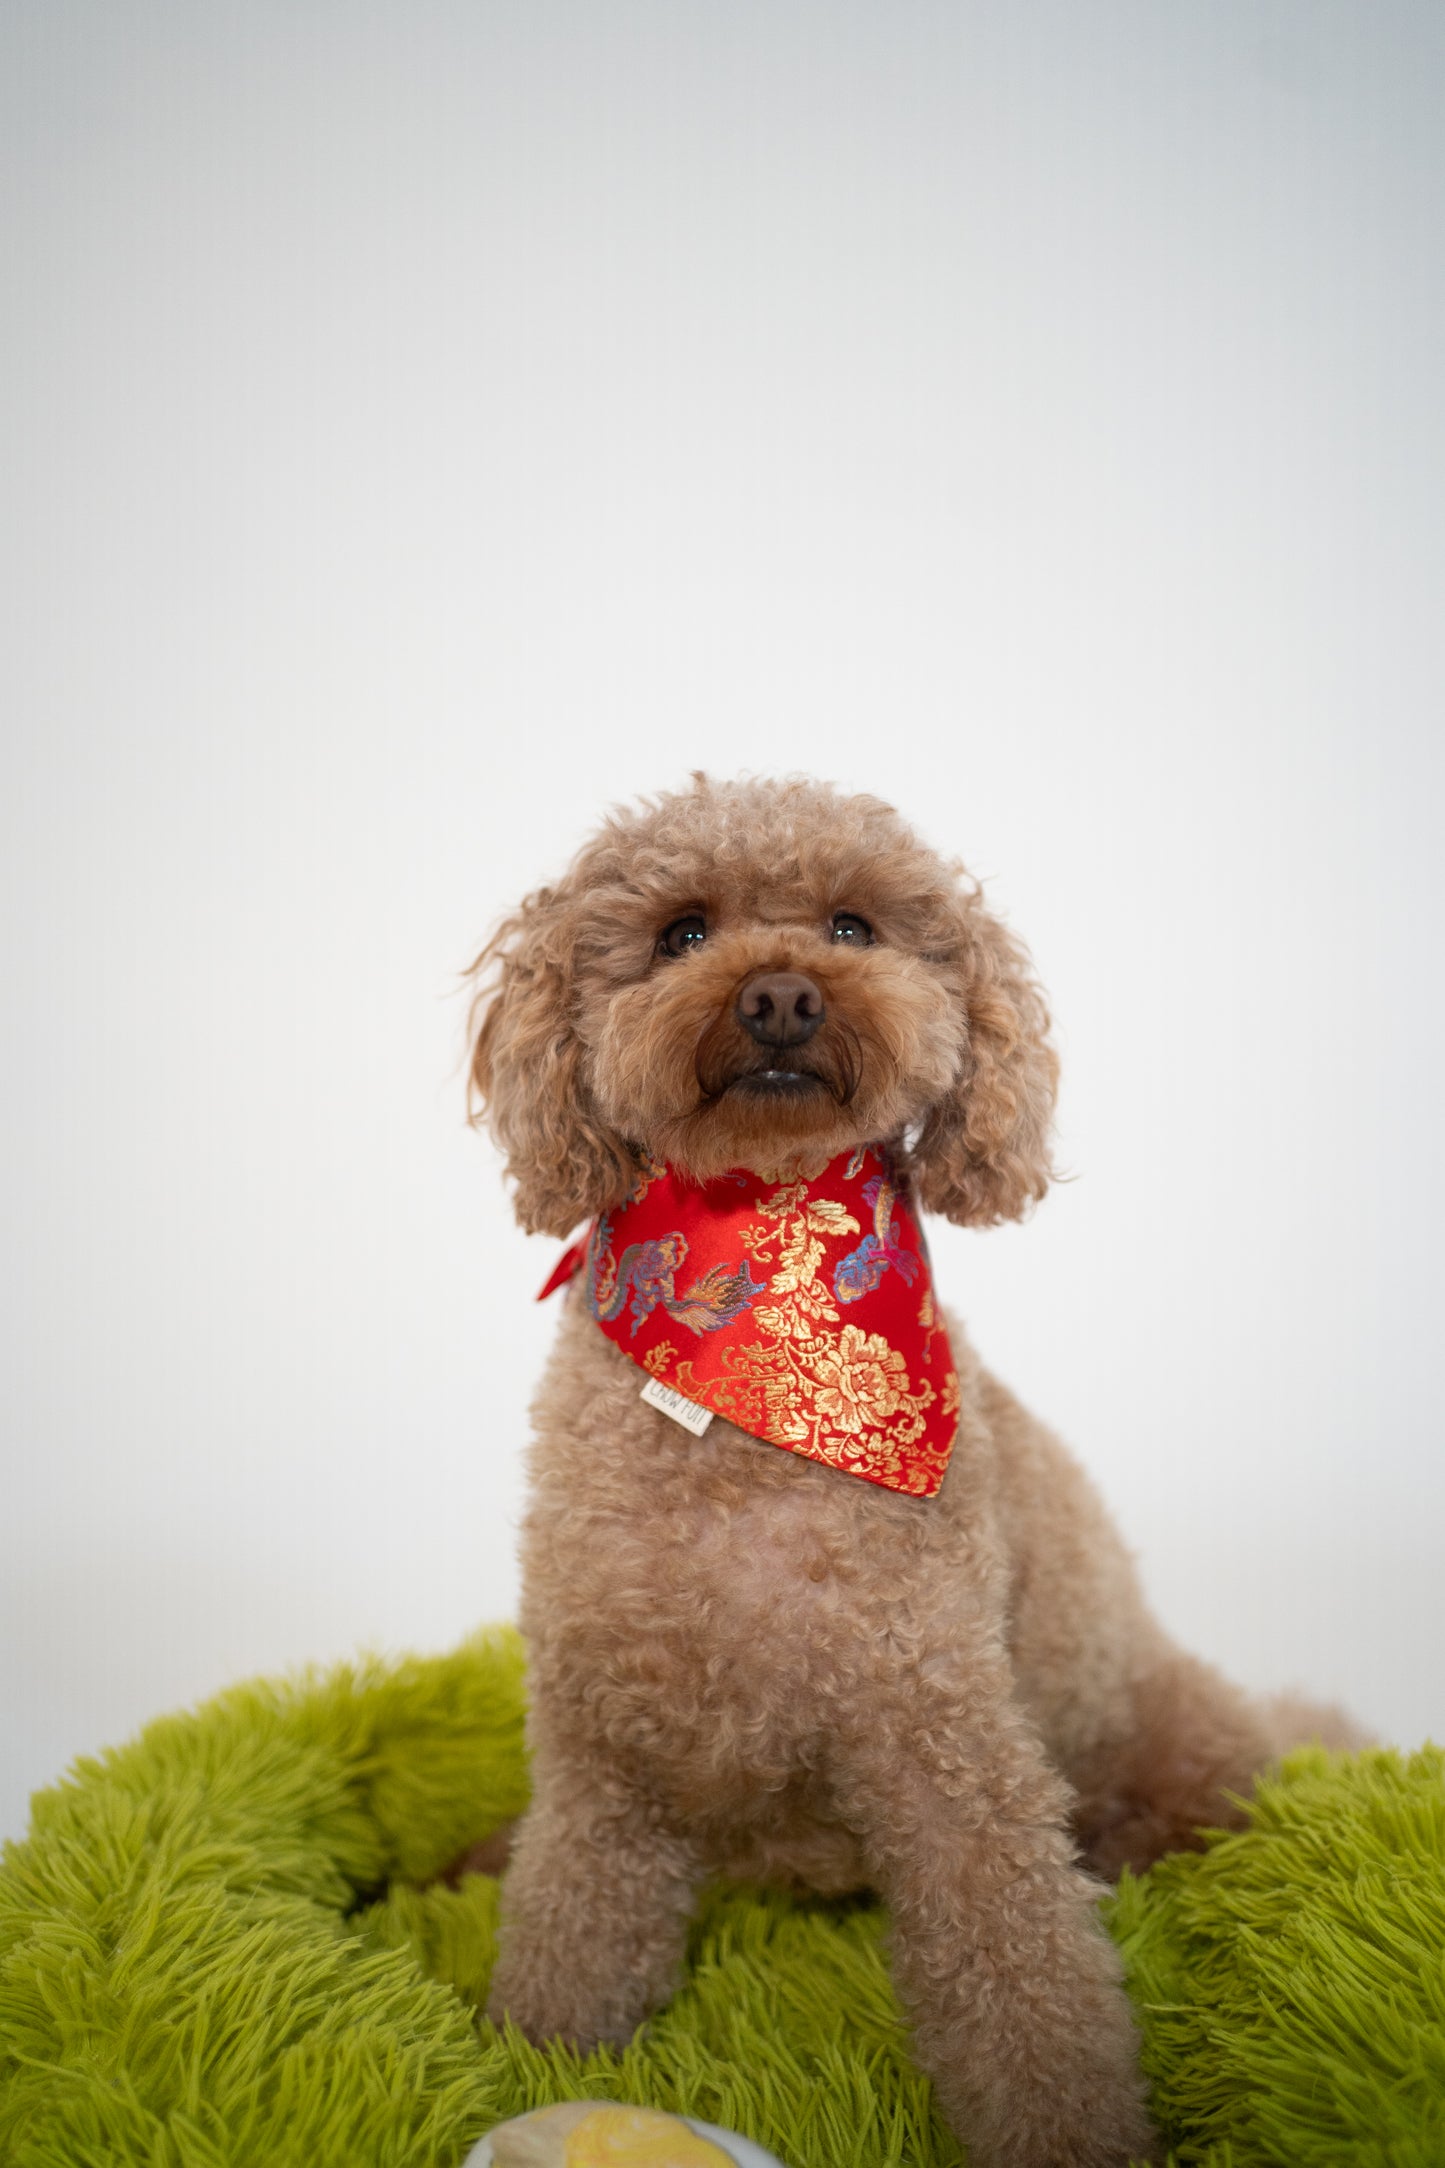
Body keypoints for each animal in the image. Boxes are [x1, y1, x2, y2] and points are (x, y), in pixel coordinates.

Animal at [470, 776, 1360, 2168]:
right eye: (679, 931)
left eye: (853, 923)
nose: (781, 995)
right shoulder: (600, 1753)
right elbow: (571, 1934)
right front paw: (523, 2063)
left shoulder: (947, 1746)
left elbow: (1021, 1980)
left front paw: (1072, 2139)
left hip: (1167, 1749)